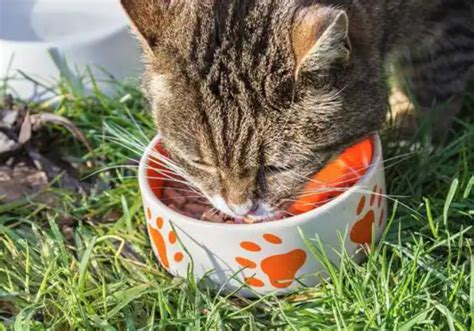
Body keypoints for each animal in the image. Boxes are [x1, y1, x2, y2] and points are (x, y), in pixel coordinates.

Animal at [120, 1, 472, 222]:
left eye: (279, 168)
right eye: (200, 163)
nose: (240, 210)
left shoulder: (450, 18)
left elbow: (434, 75)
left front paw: (416, 132)